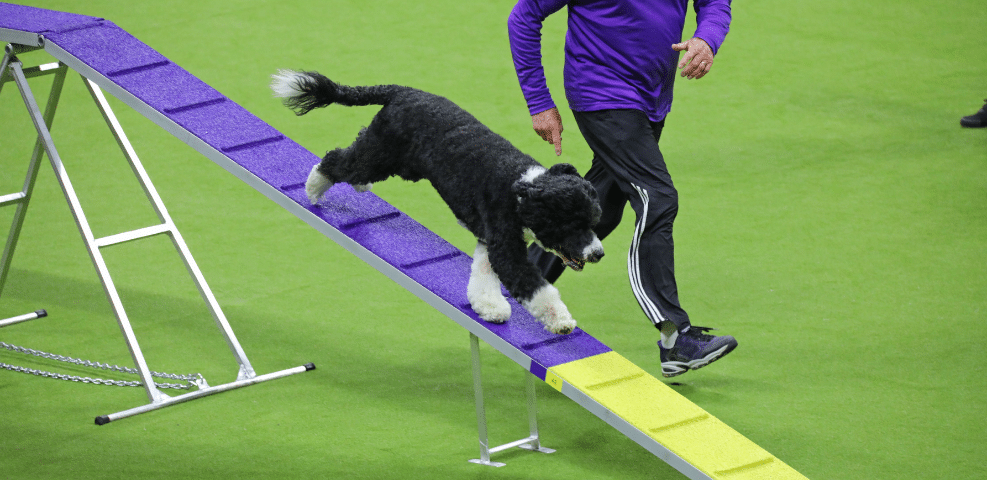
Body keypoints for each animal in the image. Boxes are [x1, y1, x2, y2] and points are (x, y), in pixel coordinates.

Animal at [274, 70, 604, 334]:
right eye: (574, 225)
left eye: (594, 221)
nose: (598, 253)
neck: (524, 191)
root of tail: (401, 91)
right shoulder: (504, 242)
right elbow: (537, 288)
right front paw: (561, 321)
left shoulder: (491, 238)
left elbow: (483, 273)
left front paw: (489, 307)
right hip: (382, 151)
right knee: (339, 160)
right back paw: (314, 187)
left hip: (395, 161)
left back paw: (354, 185)